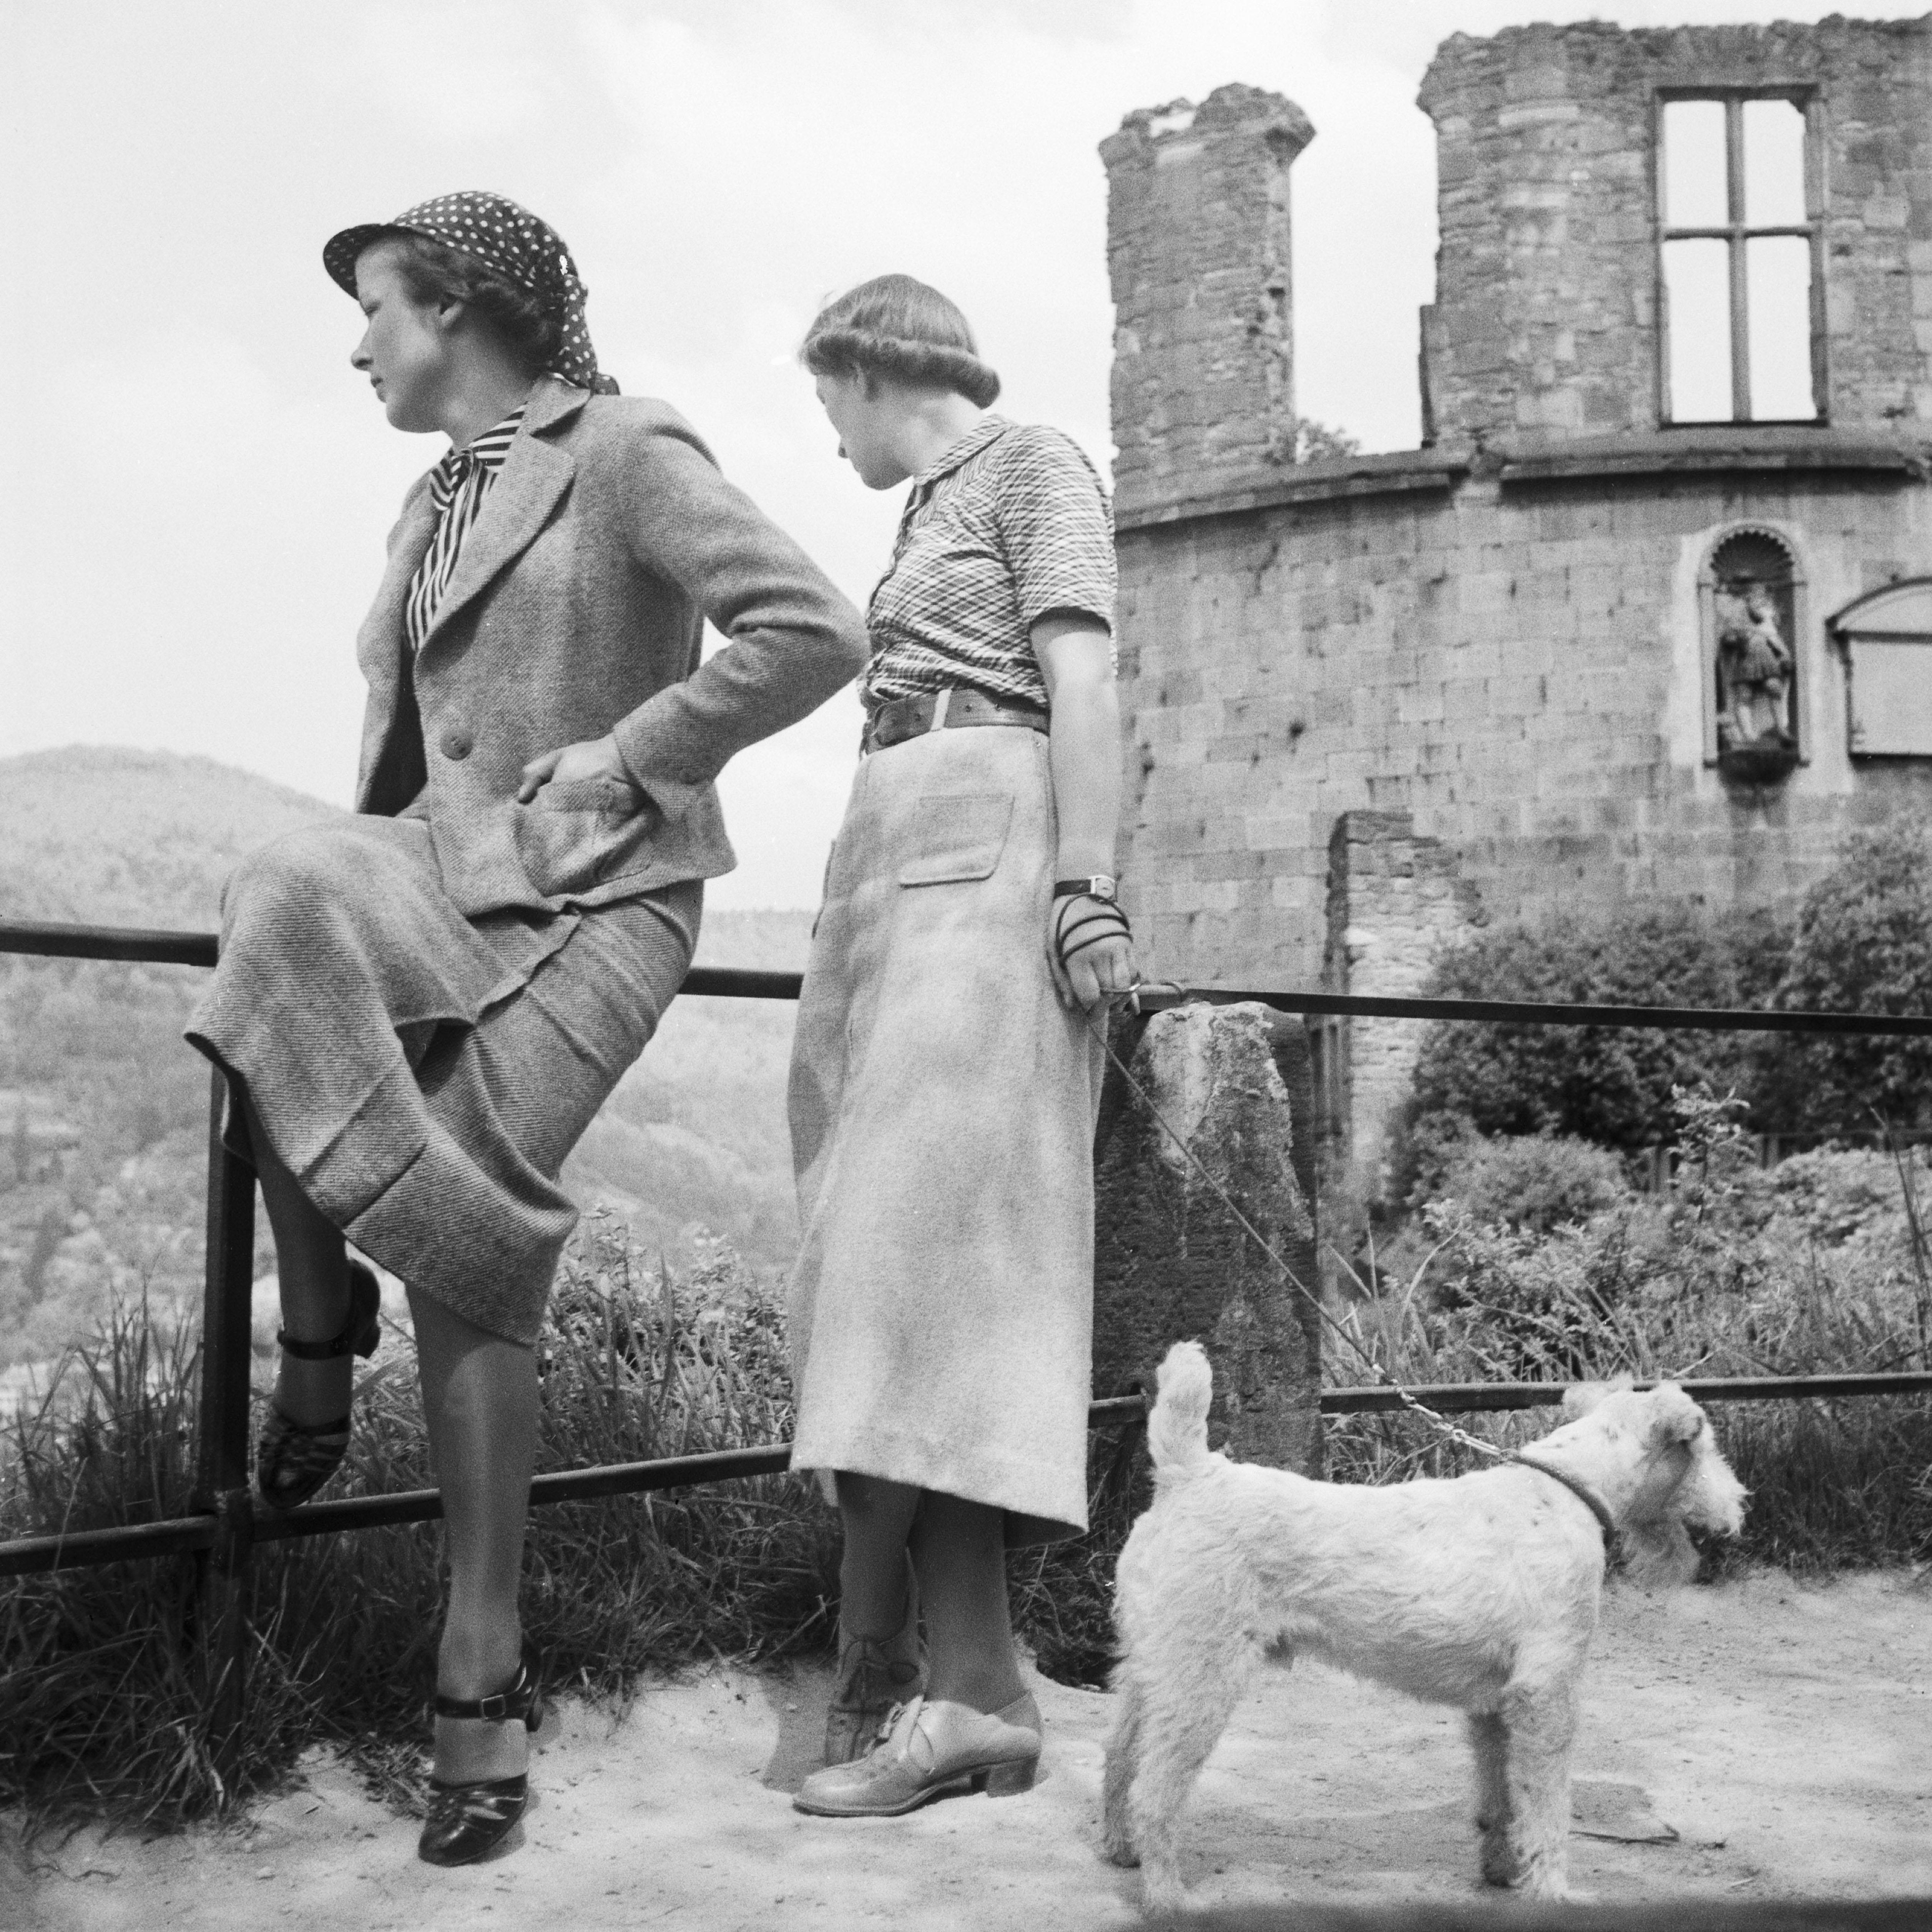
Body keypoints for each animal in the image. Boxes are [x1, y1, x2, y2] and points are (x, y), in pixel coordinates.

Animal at [1105, 1344, 1754, 1916]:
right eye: (1705, 1447)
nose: (1738, 1507)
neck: (1566, 1489)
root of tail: (1189, 1473)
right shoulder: (1546, 1693)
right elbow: (1548, 1807)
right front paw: (1551, 1892)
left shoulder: (1495, 1703)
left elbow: (1500, 1798)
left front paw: (1501, 1870)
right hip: (1201, 1678)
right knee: (1153, 1791)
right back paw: (1167, 1898)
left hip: (1150, 1667)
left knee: (1118, 1758)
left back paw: (1120, 1851)